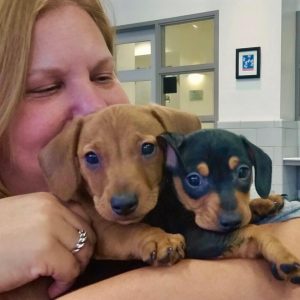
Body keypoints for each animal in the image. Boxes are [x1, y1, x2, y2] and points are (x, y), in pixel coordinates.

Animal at [144, 129, 300, 284]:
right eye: (193, 180)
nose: (231, 221)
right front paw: (282, 255)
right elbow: (253, 230)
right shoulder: (196, 240)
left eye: (243, 172)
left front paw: (268, 202)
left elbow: (247, 216)